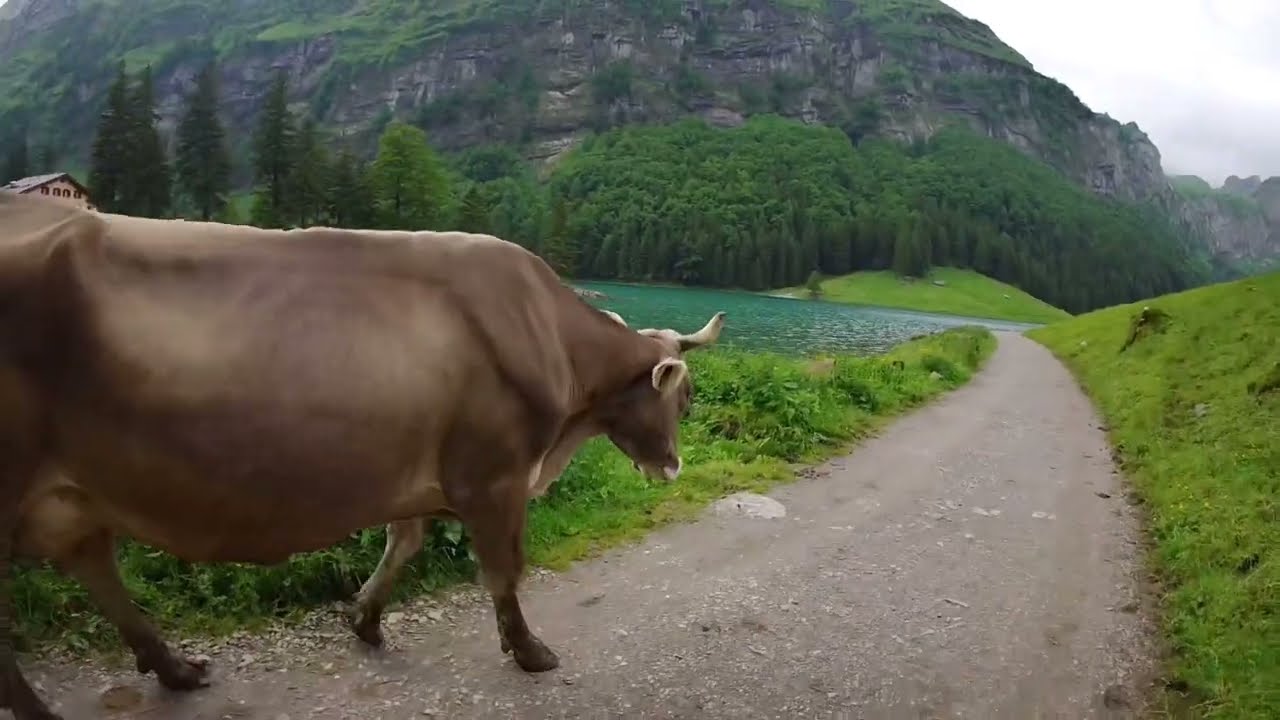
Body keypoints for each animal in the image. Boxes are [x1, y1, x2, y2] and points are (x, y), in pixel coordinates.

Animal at [0, 191, 725, 720]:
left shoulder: (421, 470)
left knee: (95, 565)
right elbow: (504, 570)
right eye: (685, 398)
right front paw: (529, 651)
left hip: (70, 494)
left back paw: (176, 669)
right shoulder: (493, 475)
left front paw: (365, 619)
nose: (674, 466)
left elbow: (403, 544)